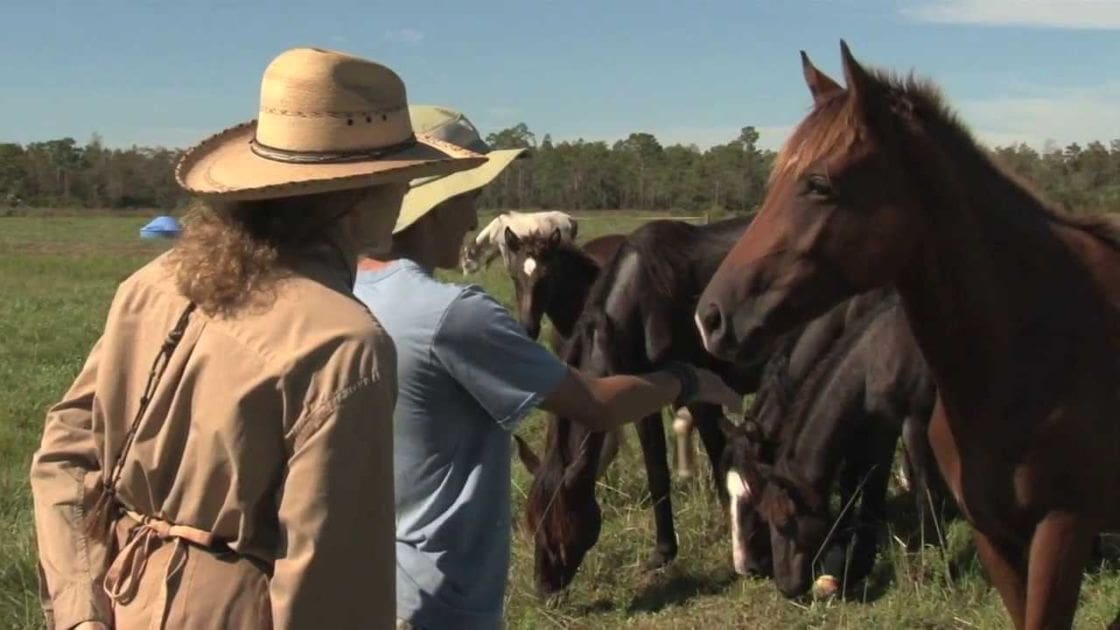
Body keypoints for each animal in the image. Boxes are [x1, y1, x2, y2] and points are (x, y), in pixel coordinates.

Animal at [517, 216, 761, 595]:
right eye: (531, 521)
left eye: (557, 528)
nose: (543, 587)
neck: (641, 302)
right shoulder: (644, 400)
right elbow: (657, 472)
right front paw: (663, 552)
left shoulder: (703, 397)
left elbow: (719, 458)